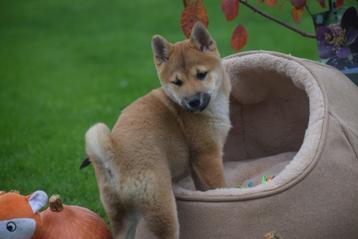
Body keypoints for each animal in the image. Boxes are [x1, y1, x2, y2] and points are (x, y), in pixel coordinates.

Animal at [84, 22, 231, 239]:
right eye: (177, 82)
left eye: (201, 74)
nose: (193, 101)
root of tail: (113, 155)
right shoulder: (207, 155)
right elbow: (219, 186)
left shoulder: (197, 163)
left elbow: (202, 188)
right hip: (162, 208)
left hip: (123, 214)